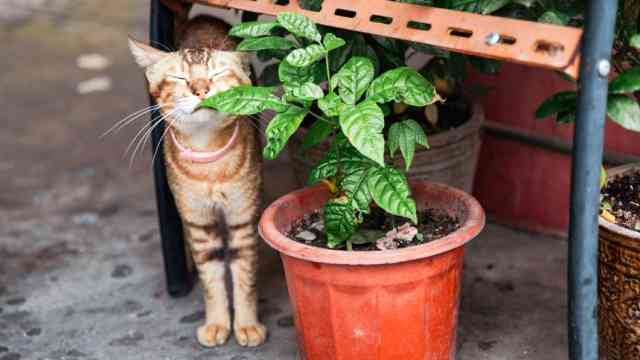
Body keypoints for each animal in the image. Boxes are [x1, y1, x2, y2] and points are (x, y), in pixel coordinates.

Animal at [127, 15, 264, 348]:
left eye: (216, 74)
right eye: (179, 78)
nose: (201, 88)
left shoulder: (243, 218)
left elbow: (244, 274)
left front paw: (247, 325)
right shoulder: (198, 224)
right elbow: (211, 278)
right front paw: (216, 323)